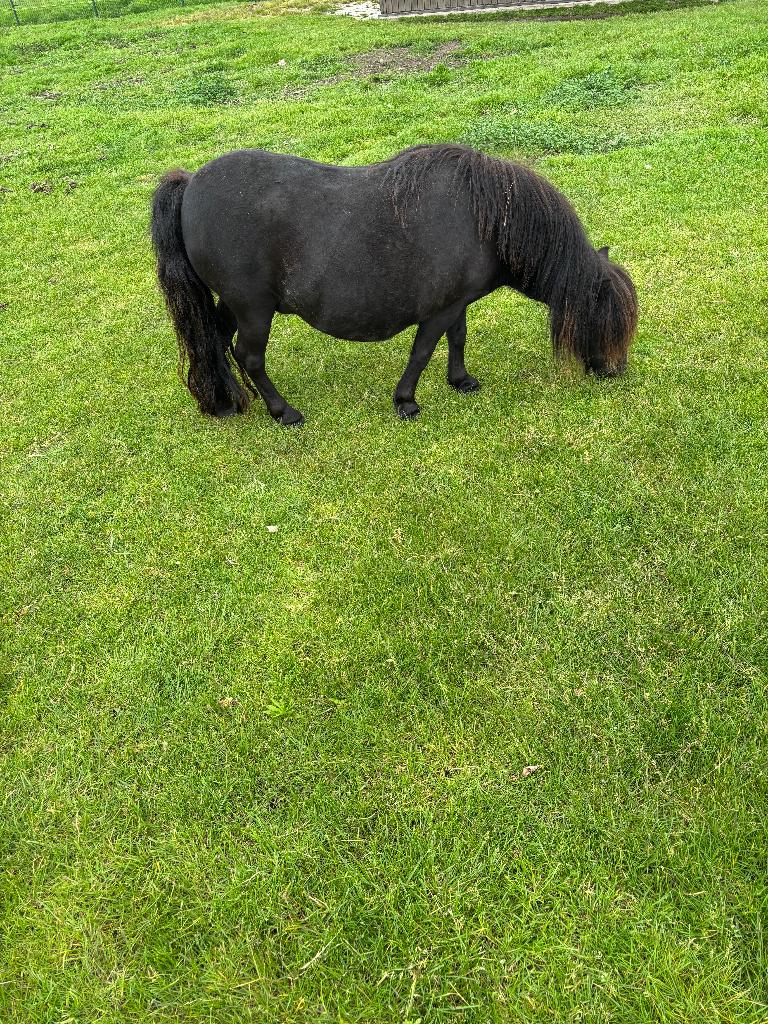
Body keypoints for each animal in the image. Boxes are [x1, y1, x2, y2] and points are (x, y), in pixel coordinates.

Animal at [151, 143, 637, 425]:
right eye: (606, 319)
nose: (615, 371)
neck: (487, 218)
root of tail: (191, 183)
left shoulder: (457, 303)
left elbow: (458, 339)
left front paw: (460, 380)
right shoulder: (439, 310)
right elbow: (422, 351)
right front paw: (406, 401)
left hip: (232, 304)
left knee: (213, 339)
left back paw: (223, 400)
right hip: (253, 308)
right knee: (249, 357)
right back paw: (282, 411)